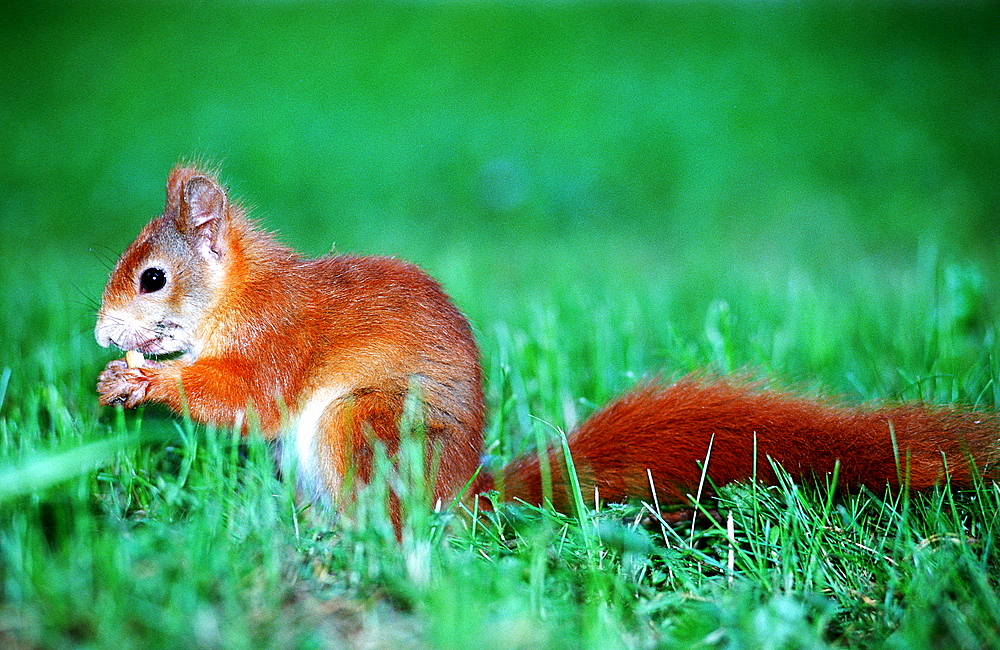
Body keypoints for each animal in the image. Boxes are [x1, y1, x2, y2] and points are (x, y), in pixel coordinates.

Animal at [95, 165, 1000, 512]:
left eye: (153, 279)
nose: (101, 333)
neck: (240, 295)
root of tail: (460, 496)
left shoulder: (281, 339)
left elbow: (250, 397)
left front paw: (149, 382)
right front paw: (119, 381)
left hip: (367, 426)